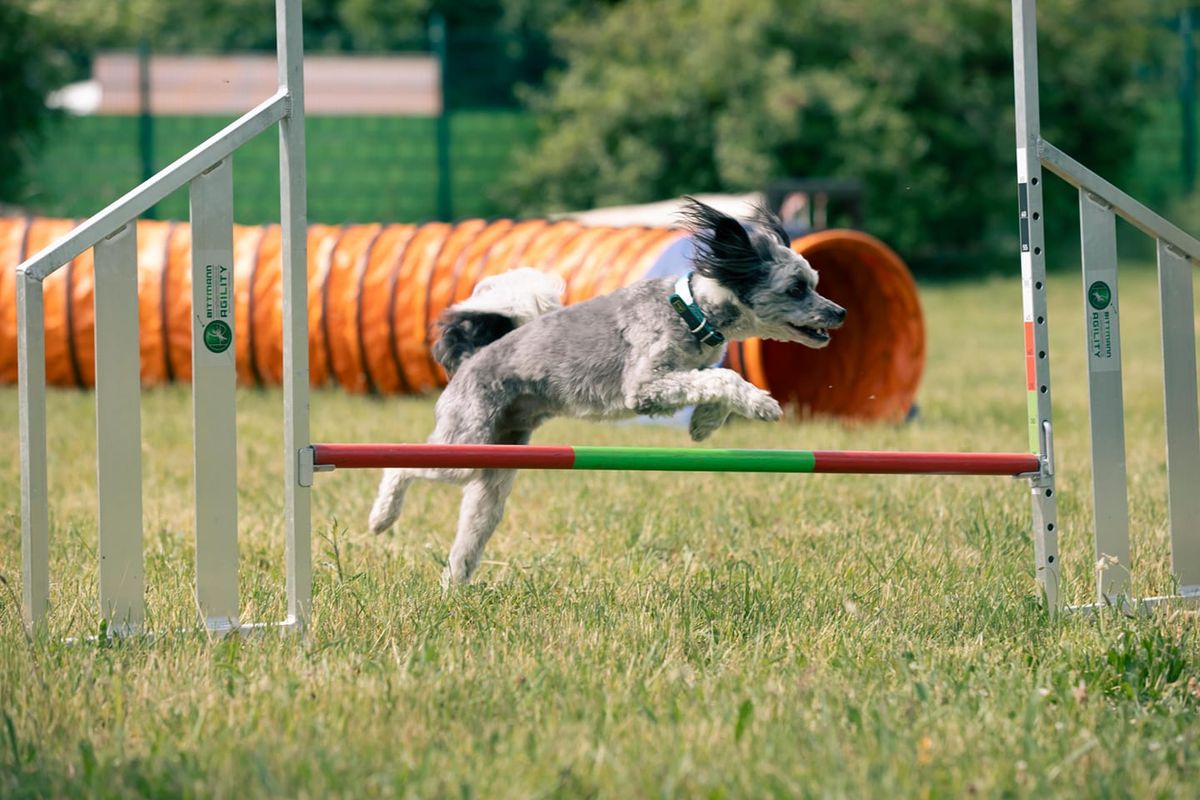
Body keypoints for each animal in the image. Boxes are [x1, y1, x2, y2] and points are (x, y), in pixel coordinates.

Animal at [364, 199, 844, 585]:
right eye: (796, 288)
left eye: (816, 281)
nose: (840, 312)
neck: (693, 310)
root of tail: (471, 358)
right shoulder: (645, 387)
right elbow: (720, 380)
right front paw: (762, 404)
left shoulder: (686, 370)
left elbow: (713, 382)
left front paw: (704, 426)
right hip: (463, 446)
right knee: (400, 465)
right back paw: (381, 519)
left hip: (493, 472)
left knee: (468, 538)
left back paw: (453, 588)